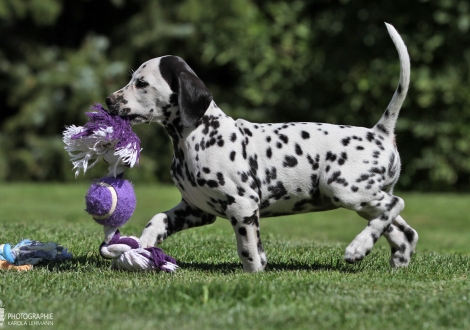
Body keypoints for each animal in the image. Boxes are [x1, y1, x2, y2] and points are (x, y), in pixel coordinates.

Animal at [106, 22, 418, 270]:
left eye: (141, 83)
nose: (109, 100)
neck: (197, 136)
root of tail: (379, 132)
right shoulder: (196, 209)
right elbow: (157, 220)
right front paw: (142, 247)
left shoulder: (242, 207)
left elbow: (249, 252)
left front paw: (255, 276)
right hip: (363, 200)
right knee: (403, 231)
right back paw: (397, 263)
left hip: (346, 190)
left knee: (396, 204)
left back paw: (358, 247)